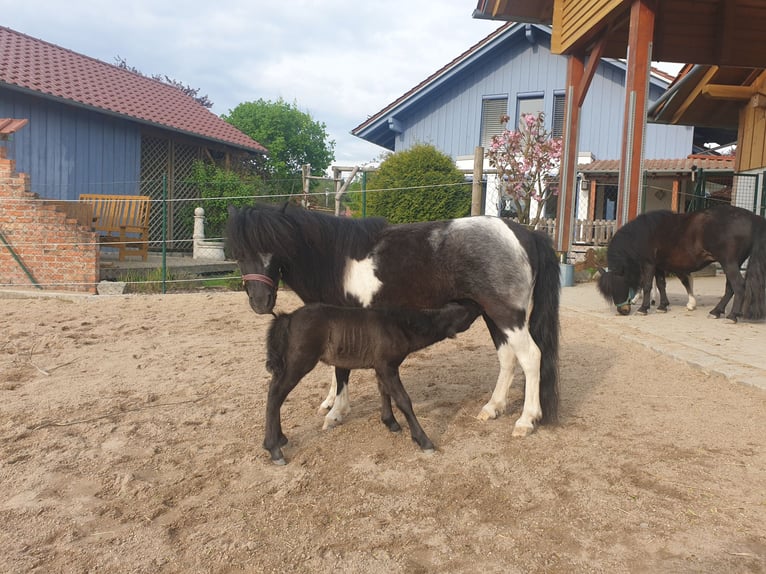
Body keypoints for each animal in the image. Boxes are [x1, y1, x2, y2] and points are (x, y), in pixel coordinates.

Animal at [226, 202, 560, 438]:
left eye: (275, 247)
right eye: (239, 253)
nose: (260, 302)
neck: (337, 259)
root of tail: (526, 234)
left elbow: (341, 369)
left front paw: (336, 412)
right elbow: (336, 369)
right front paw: (330, 402)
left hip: (507, 315)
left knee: (531, 357)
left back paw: (526, 420)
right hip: (494, 315)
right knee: (507, 358)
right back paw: (492, 408)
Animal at [264, 301, 483, 464]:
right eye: (465, 311)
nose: (479, 305)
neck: (399, 326)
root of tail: (288, 318)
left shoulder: (381, 367)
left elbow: (384, 392)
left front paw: (390, 422)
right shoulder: (387, 367)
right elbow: (403, 400)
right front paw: (423, 441)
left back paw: (279, 439)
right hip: (299, 362)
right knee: (275, 394)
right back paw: (273, 448)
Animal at [597, 204, 766, 323]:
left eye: (621, 285)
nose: (623, 311)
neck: (641, 233)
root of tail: (752, 217)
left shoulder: (649, 264)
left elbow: (647, 285)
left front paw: (643, 308)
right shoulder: (659, 265)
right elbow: (661, 284)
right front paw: (662, 306)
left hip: (729, 263)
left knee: (738, 286)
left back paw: (732, 316)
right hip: (733, 263)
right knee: (730, 288)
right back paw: (716, 312)